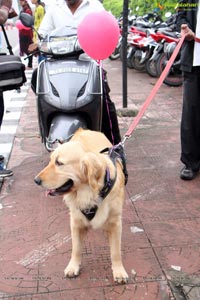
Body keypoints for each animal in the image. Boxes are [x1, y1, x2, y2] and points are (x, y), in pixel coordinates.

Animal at [34, 128, 128, 284]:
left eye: (59, 163)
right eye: (51, 160)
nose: (36, 180)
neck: (89, 193)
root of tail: (84, 130)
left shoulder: (115, 223)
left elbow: (116, 251)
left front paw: (119, 271)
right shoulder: (76, 222)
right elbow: (76, 249)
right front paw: (73, 266)